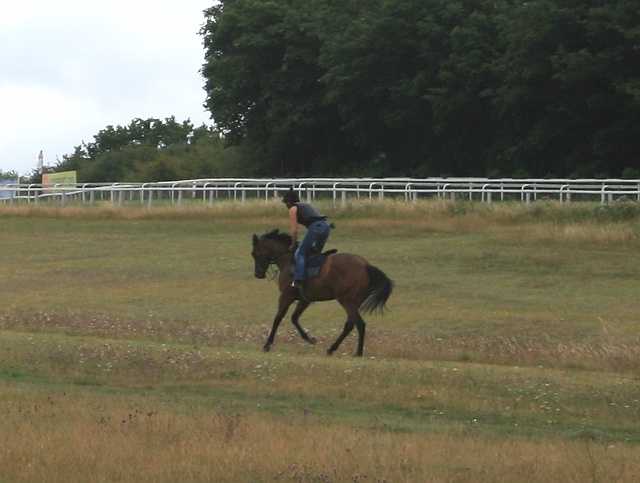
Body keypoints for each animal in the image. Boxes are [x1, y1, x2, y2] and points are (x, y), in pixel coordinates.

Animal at [251, 229, 392, 358]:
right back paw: (332, 349)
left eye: (254, 254)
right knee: (350, 325)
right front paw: (309, 339)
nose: (258, 274)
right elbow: (294, 318)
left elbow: (278, 318)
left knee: (359, 324)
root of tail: (365, 265)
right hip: (354, 302)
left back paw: (358, 352)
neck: (287, 259)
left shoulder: (286, 296)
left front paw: (267, 345)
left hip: (346, 301)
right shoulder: (304, 300)